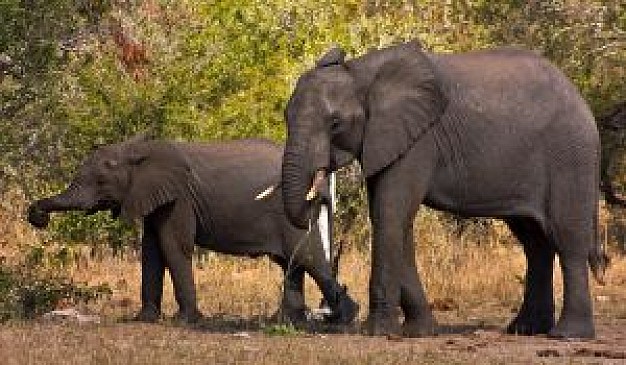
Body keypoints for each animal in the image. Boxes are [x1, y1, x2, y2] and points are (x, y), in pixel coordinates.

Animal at [26, 136, 356, 324]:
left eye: (100, 181)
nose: (37, 215)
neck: (137, 149)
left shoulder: (179, 198)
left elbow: (174, 246)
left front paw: (185, 321)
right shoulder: (155, 198)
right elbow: (151, 251)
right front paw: (143, 320)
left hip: (292, 212)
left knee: (307, 257)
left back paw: (344, 318)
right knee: (293, 262)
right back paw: (287, 323)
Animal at [280, 40, 608, 338]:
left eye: (335, 123)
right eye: (285, 116)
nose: (320, 193)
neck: (361, 73)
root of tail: (580, 97)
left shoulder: (418, 141)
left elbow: (391, 214)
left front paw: (378, 333)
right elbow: (395, 220)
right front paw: (420, 332)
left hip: (570, 157)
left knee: (567, 240)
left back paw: (568, 335)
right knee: (535, 243)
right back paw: (525, 330)